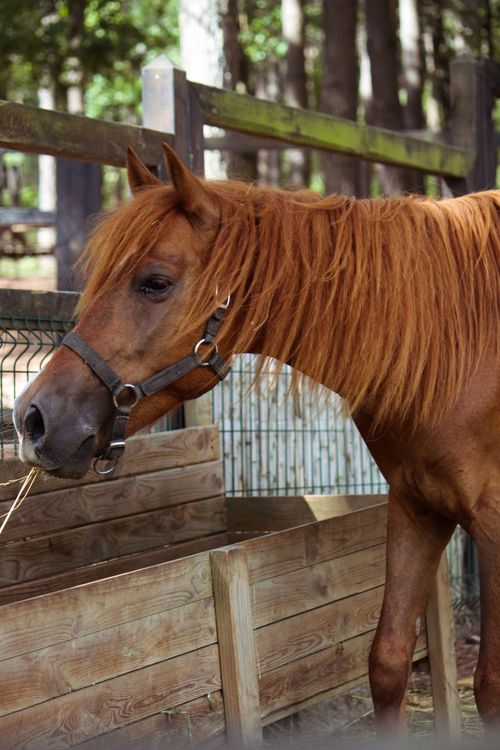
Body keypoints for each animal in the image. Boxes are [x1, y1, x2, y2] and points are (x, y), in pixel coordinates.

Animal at [13, 143, 500, 735]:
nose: (32, 419)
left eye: (155, 282)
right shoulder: (418, 507)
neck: (462, 346)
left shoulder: (493, 526)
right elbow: (386, 663)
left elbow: (490, 686)